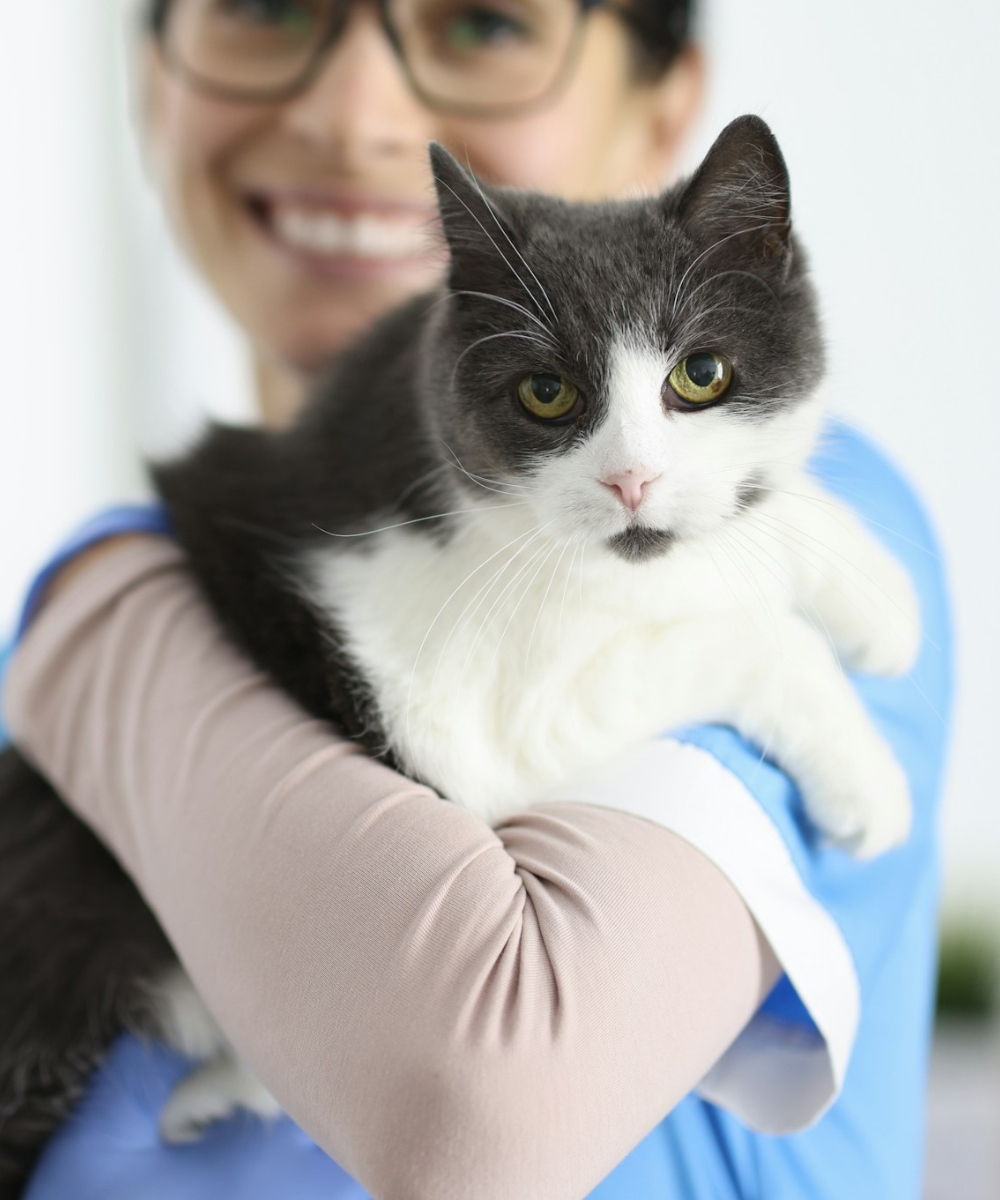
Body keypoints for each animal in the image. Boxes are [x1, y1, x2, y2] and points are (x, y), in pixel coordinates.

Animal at [0, 112, 921, 1180]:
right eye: (546, 393)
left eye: (702, 374)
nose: (633, 482)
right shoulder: (451, 706)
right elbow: (724, 635)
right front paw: (864, 776)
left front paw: (872, 592)